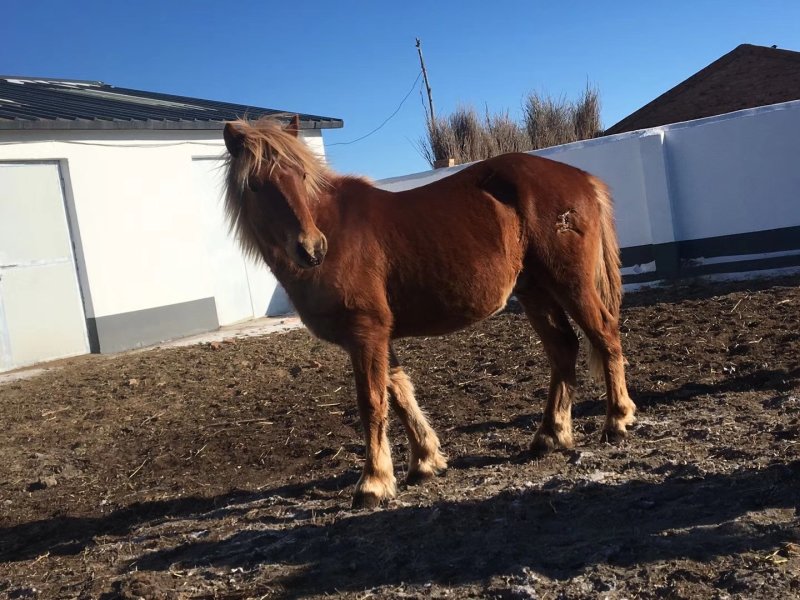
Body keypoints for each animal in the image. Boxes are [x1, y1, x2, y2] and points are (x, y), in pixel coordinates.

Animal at [222, 116, 636, 509]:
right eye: (255, 185)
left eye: (303, 176)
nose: (311, 249)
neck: (336, 230)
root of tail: (581, 177)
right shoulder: (378, 336)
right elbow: (400, 393)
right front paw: (425, 461)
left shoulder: (365, 332)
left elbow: (372, 402)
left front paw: (373, 483)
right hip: (534, 290)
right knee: (563, 348)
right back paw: (549, 435)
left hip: (570, 284)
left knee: (604, 334)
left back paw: (617, 420)